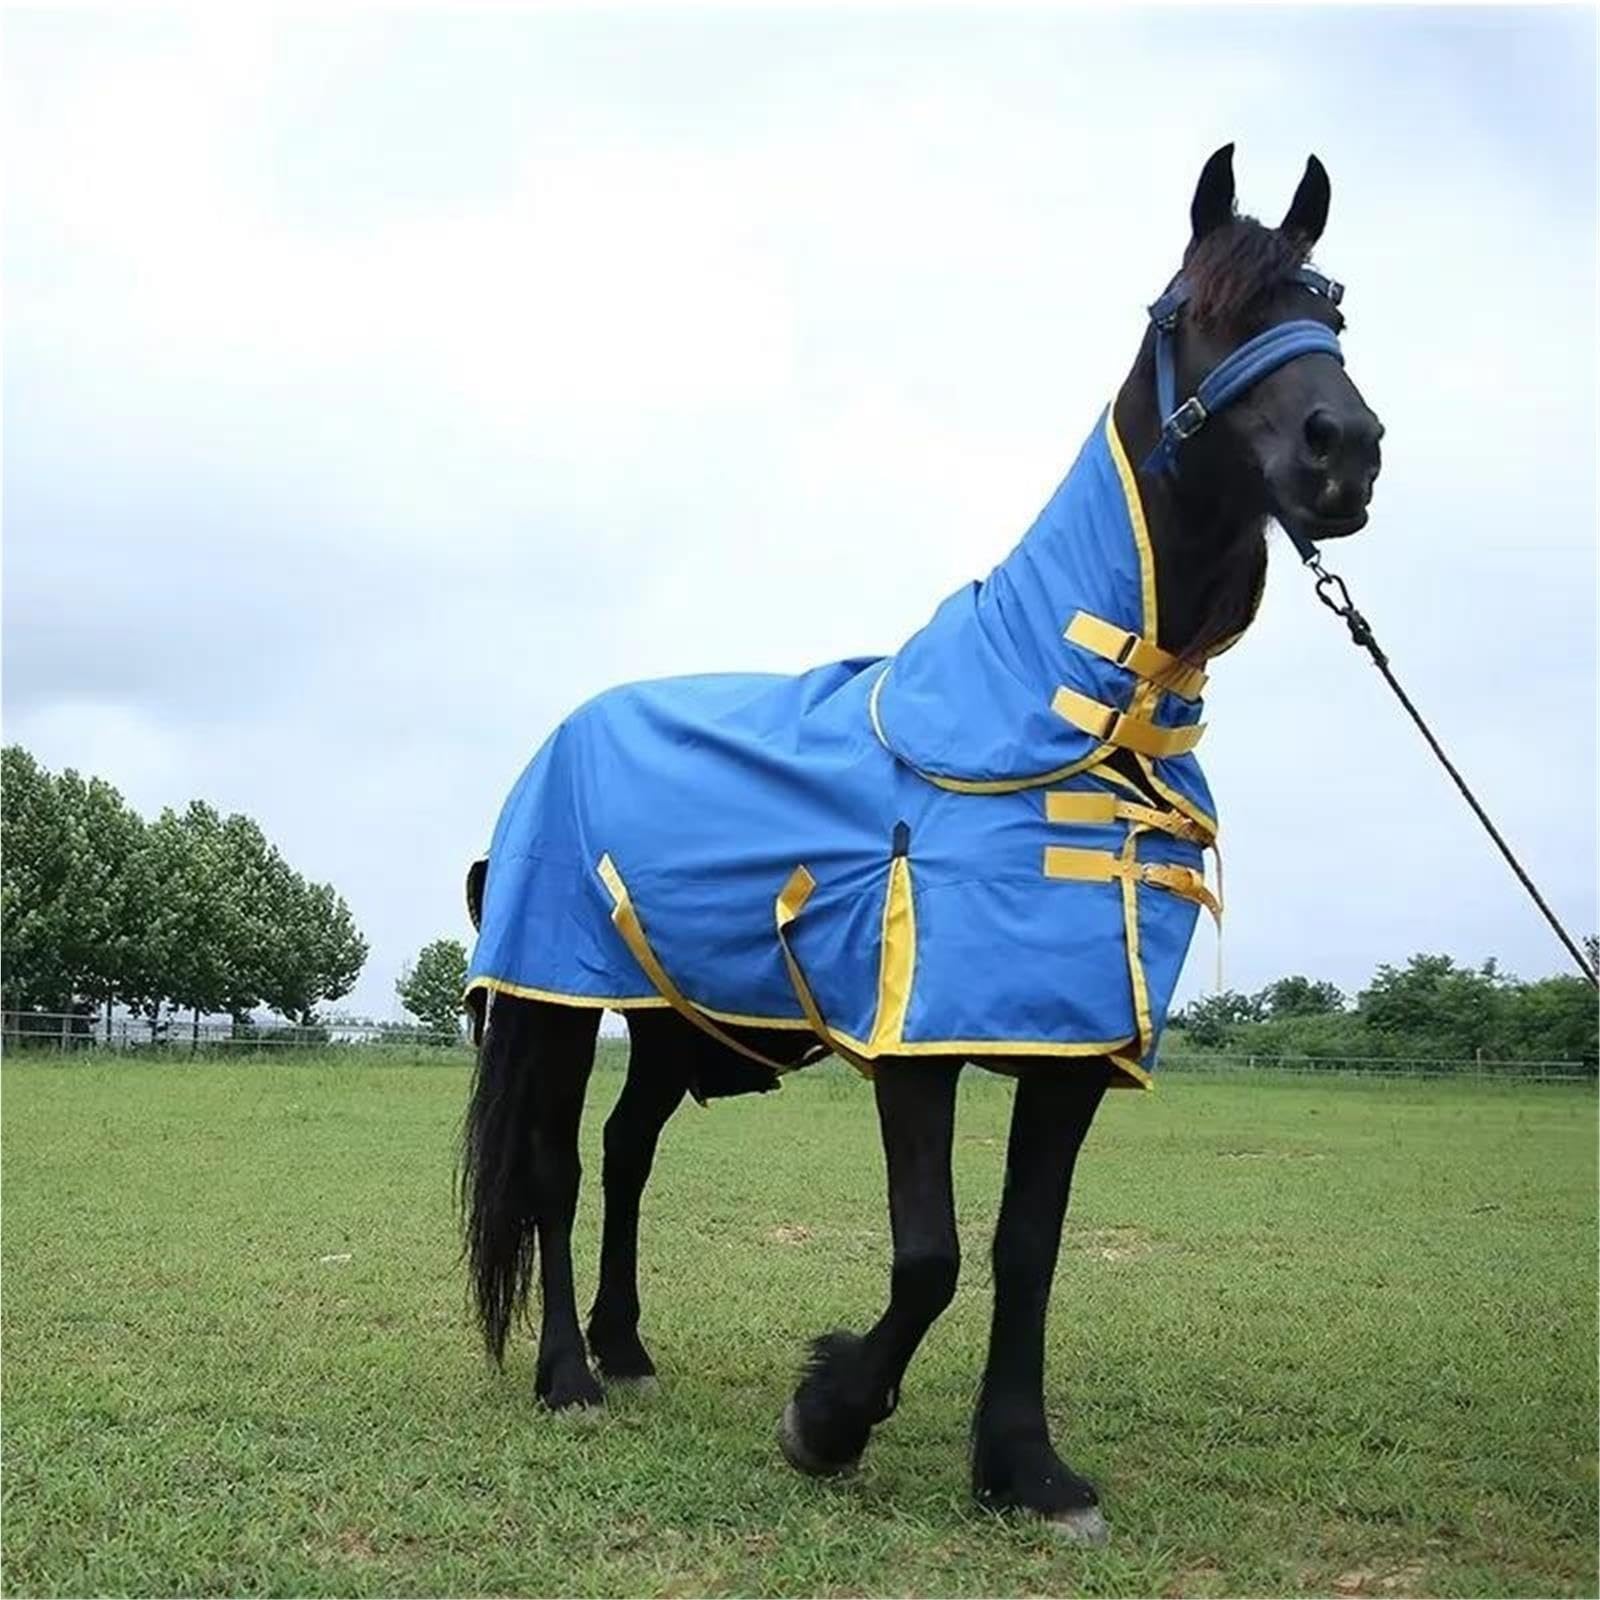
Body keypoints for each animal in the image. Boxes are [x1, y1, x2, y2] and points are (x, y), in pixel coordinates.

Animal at [459, 144, 1383, 1541]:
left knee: (625, 1156)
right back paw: (570, 1374)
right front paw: (825, 1418)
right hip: (556, 999)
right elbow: (931, 1256)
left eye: (1332, 312)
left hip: (673, 1020)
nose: (1348, 450)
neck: (1067, 714)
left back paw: (625, 1346)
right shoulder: (918, 1040)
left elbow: (1025, 1250)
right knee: (559, 1170)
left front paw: (1026, 1466)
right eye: (1197, 309)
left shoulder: (1070, 1049)